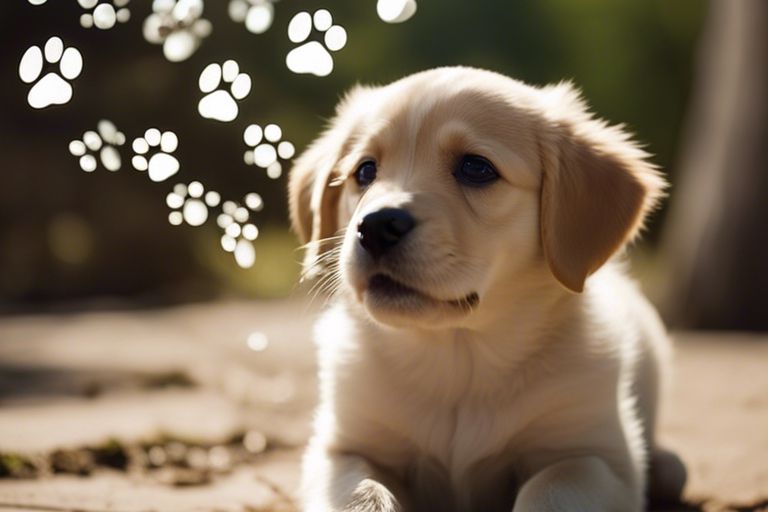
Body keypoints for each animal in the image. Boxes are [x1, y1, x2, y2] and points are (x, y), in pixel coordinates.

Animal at [288, 68, 684, 512]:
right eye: (364, 171)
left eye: (476, 168)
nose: (374, 226)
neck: (460, 357)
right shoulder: (342, 449)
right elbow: (364, 495)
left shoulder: (596, 460)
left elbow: (546, 490)